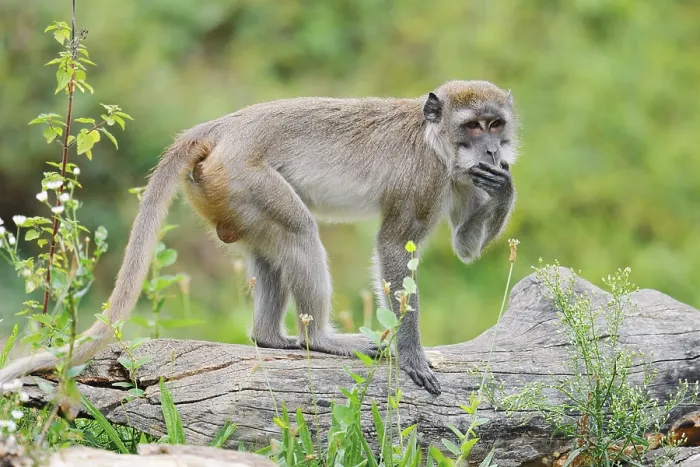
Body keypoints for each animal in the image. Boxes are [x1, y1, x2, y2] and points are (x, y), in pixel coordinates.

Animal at [0, 80, 518, 396]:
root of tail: (221, 126)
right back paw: (320, 340)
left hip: (223, 195)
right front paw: (412, 356)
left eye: (496, 124)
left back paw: (269, 337)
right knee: (300, 233)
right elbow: (395, 247)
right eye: (473, 125)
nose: (493, 150)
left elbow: (465, 248)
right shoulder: (423, 179)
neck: (437, 145)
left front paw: (505, 185)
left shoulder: (460, 180)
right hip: (243, 178)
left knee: (273, 248)